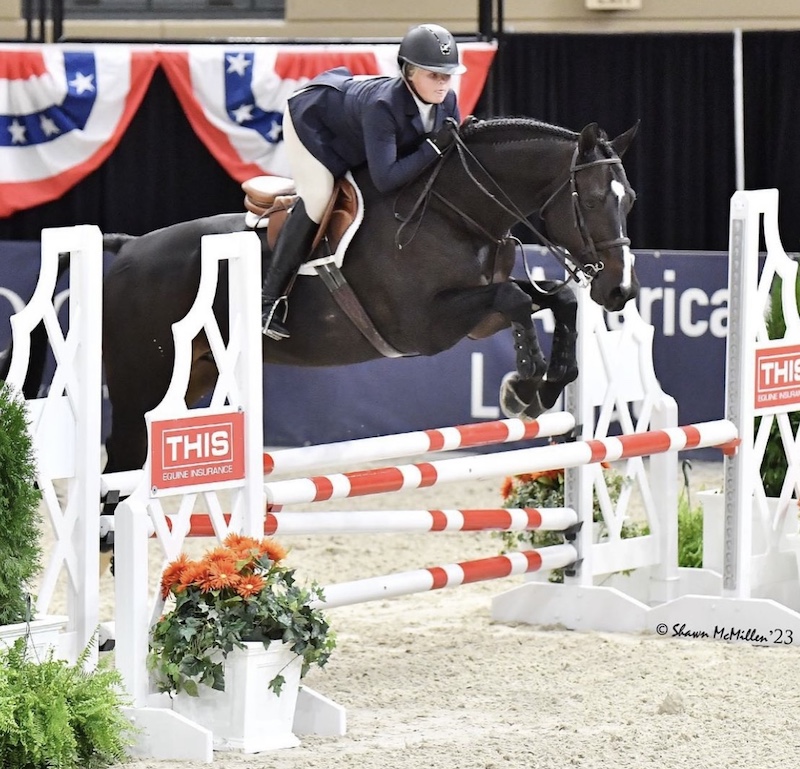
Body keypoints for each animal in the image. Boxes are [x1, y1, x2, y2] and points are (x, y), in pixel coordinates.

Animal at [3, 117, 636, 484]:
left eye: (627, 199)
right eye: (592, 199)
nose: (620, 290)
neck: (456, 210)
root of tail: (128, 249)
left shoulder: (477, 318)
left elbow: (556, 301)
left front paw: (543, 385)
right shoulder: (425, 325)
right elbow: (517, 298)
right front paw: (525, 388)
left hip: (194, 375)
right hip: (143, 381)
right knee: (120, 464)